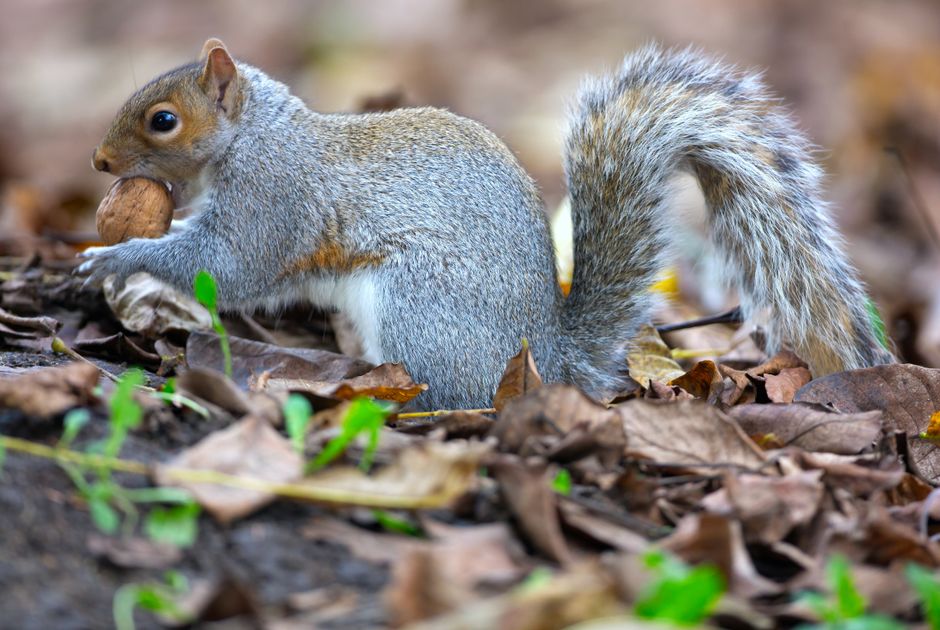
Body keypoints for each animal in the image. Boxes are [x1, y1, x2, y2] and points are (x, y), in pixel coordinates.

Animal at [81, 38, 895, 410]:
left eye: (163, 120)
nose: (98, 159)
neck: (255, 134)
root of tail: (548, 357)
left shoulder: (273, 196)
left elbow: (230, 266)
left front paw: (118, 257)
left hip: (421, 303)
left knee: (453, 395)